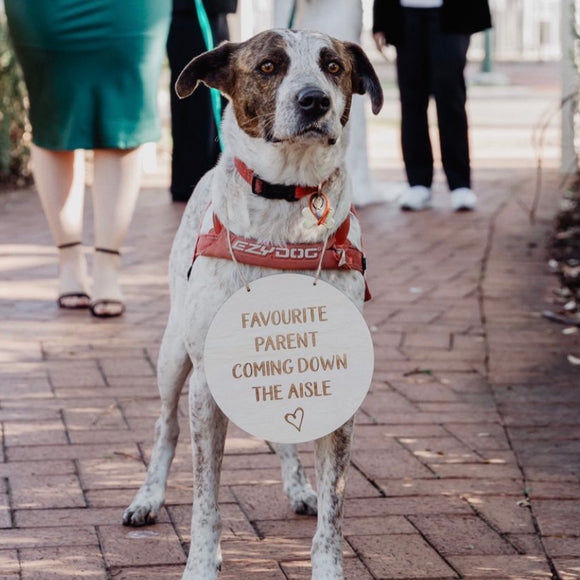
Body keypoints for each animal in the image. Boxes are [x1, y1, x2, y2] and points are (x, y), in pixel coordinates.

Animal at [122, 28, 382, 580]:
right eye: (268, 66)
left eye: (333, 66)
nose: (314, 100)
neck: (287, 204)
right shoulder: (204, 388)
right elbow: (205, 500)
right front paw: (202, 564)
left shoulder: (336, 382)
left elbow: (334, 509)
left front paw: (327, 563)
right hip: (172, 356)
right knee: (164, 427)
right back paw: (147, 498)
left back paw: (298, 487)